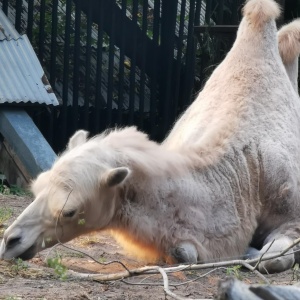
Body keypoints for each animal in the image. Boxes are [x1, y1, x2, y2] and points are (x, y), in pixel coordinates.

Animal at [0, 0, 300, 274]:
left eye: (70, 211)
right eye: (37, 189)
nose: (11, 240)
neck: (245, 172)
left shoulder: (291, 215)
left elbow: (273, 259)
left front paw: (252, 252)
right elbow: (184, 252)